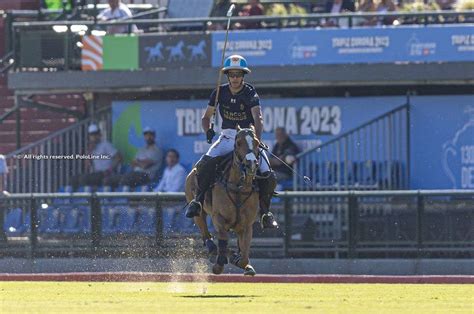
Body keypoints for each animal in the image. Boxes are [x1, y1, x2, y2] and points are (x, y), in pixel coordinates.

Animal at [185, 126, 260, 276]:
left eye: (257, 142)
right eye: (238, 143)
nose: (251, 165)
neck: (238, 187)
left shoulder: (247, 225)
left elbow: (244, 255)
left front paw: (240, 261)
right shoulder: (219, 218)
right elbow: (223, 239)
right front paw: (219, 265)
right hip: (197, 208)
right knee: (204, 230)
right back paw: (213, 250)